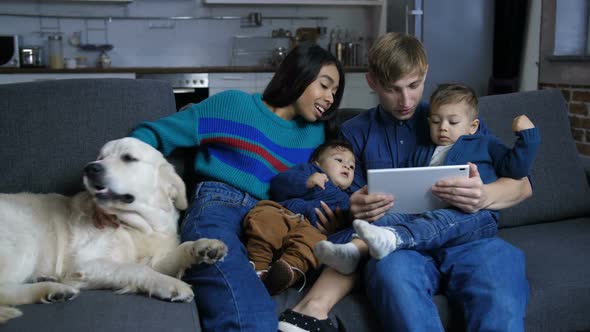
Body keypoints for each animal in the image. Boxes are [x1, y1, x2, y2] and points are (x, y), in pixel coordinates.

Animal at [0, 136, 228, 322]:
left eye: (128, 158)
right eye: (100, 157)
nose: (90, 168)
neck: (140, 226)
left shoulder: (157, 258)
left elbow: (179, 251)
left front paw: (204, 247)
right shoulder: (84, 263)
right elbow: (135, 268)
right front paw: (170, 284)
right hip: (25, 241)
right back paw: (52, 288)